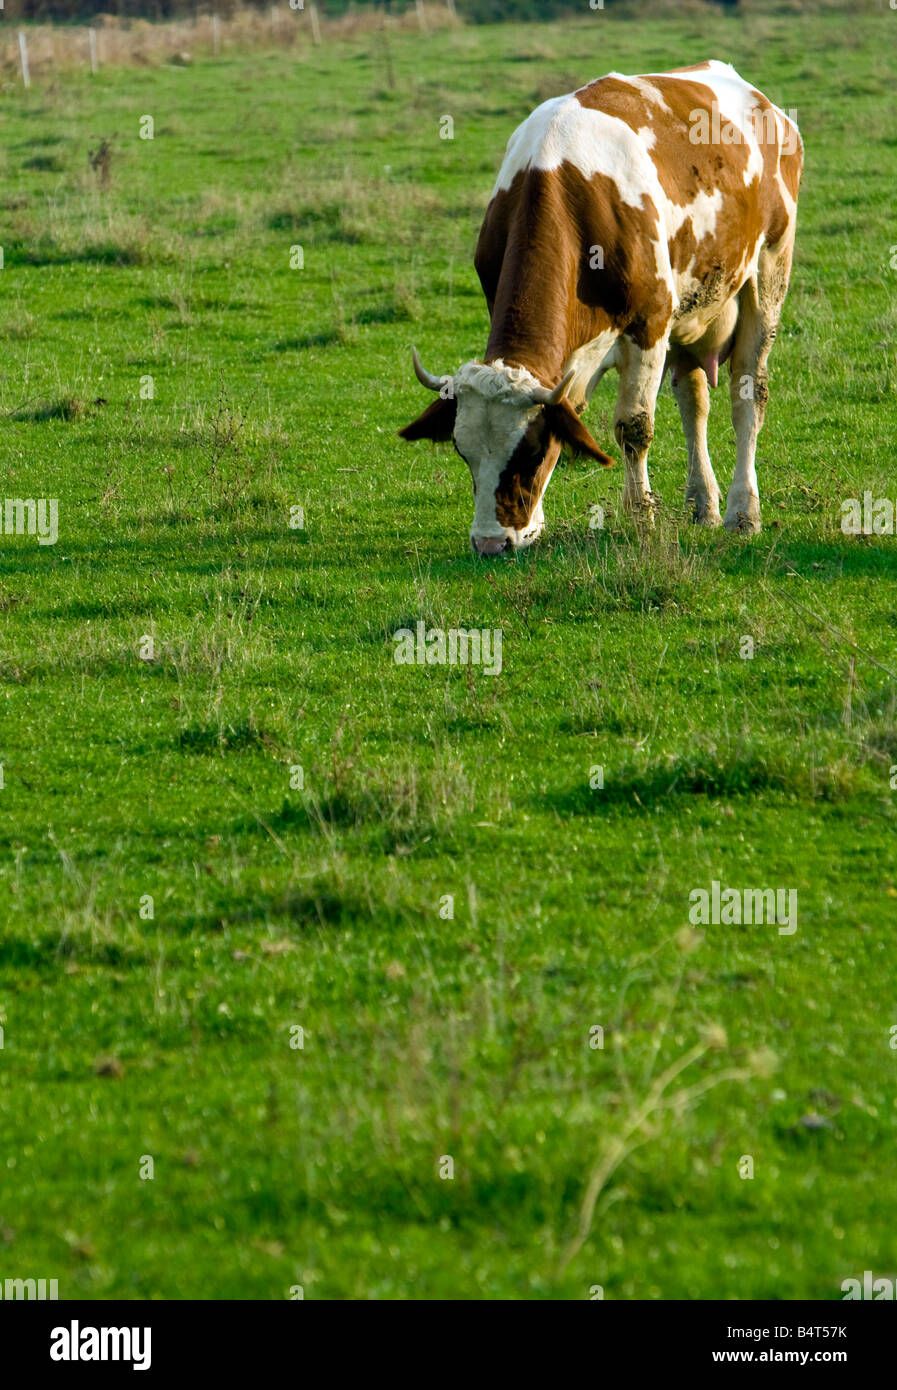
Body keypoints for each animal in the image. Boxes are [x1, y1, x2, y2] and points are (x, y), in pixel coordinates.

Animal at [394, 58, 801, 558]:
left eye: (530, 452)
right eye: (462, 451)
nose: (491, 543)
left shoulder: (649, 325)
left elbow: (633, 427)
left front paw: (642, 519)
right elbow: (570, 413)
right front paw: (539, 524)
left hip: (768, 274)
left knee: (748, 395)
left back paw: (743, 512)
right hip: (692, 308)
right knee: (693, 401)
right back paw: (702, 503)